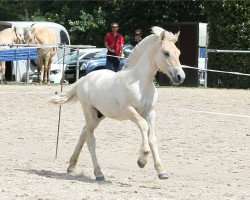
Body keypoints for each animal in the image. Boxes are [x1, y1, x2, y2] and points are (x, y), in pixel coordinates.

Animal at [48, 25, 186, 180]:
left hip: (99, 115)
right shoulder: (129, 110)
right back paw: (98, 173)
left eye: (178, 53)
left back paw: (71, 166)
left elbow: (152, 138)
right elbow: (143, 126)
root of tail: (83, 79)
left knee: (84, 133)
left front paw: (161, 171)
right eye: (166, 53)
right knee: (90, 139)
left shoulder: (150, 112)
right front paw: (142, 160)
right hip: (89, 112)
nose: (180, 77)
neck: (140, 82)